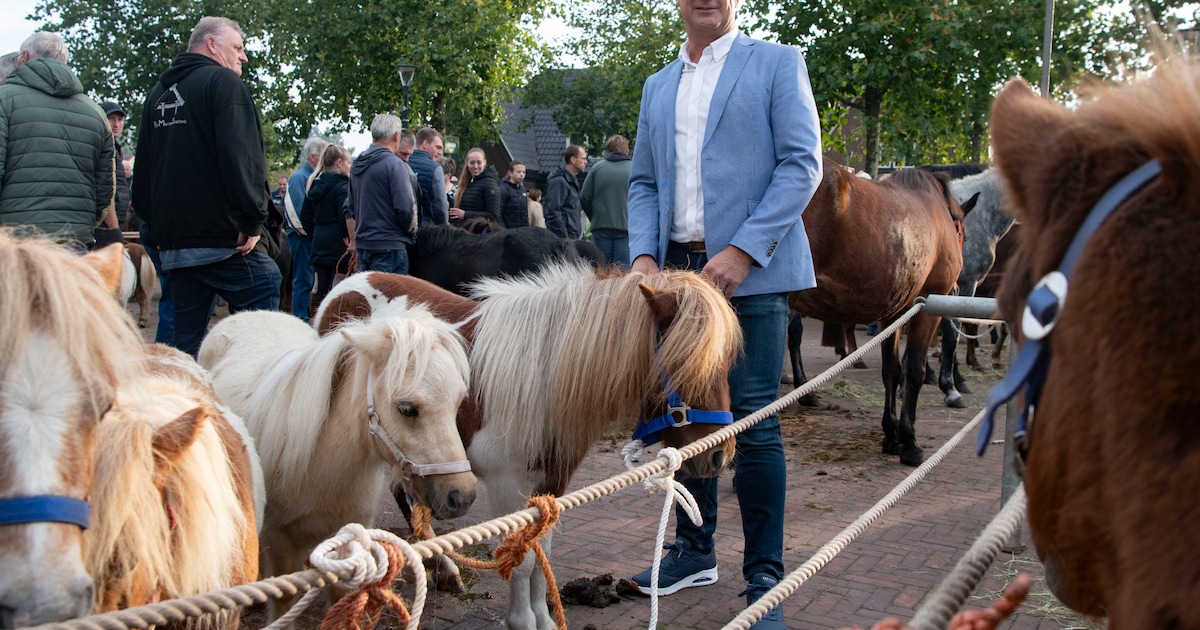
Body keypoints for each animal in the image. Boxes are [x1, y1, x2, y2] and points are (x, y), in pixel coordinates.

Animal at [315, 262, 741, 630]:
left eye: (725, 362)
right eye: (686, 361)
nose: (719, 456)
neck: (544, 376)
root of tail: (341, 289)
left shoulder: (553, 483)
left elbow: (542, 553)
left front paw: (544, 619)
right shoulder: (510, 485)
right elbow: (521, 558)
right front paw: (523, 621)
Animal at [788, 158, 976, 466]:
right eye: (964, 235)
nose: (959, 286)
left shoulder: (894, 313)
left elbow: (892, 370)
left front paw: (892, 435)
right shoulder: (925, 309)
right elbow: (914, 371)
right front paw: (910, 441)